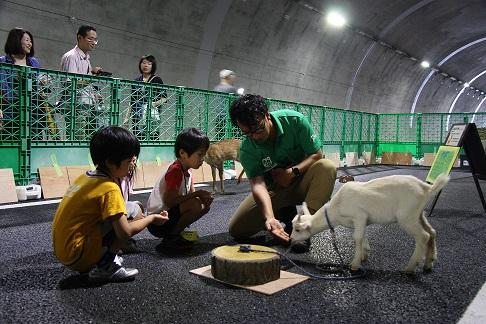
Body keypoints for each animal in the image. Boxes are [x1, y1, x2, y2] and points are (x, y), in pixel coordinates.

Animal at [290, 173, 450, 272]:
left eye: (298, 229)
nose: (290, 239)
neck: (335, 209)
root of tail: (427, 188)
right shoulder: (362, 221)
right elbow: (363, 237)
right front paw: (364, 255)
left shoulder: (359, 215)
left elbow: (357, 238)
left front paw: (355, 264)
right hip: (418, 214)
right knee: (432, 232)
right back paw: (429, 263)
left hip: (407, 216)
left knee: (423, 236)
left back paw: (410, 267)